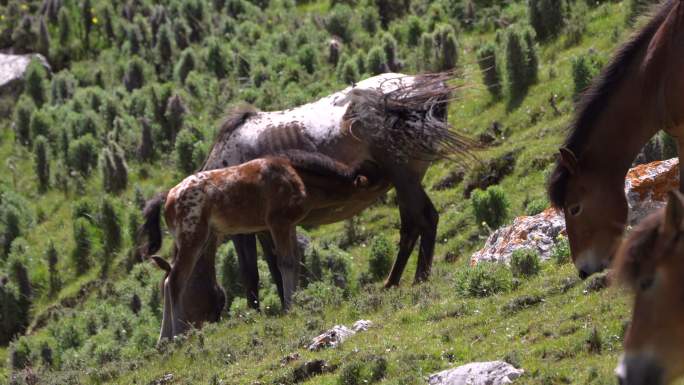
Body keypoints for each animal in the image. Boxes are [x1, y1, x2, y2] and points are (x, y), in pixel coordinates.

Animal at [140, 151, 374, 340]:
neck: (297, 178)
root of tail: (168, 197)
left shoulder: (288, 225)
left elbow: (294, 261)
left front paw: (297, 301)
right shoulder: (278, 223)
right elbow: (285, 263)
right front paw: (289, 306)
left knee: (169, 280)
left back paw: (166, 338)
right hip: (193, 238)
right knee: (175, 280)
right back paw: (174, 336)